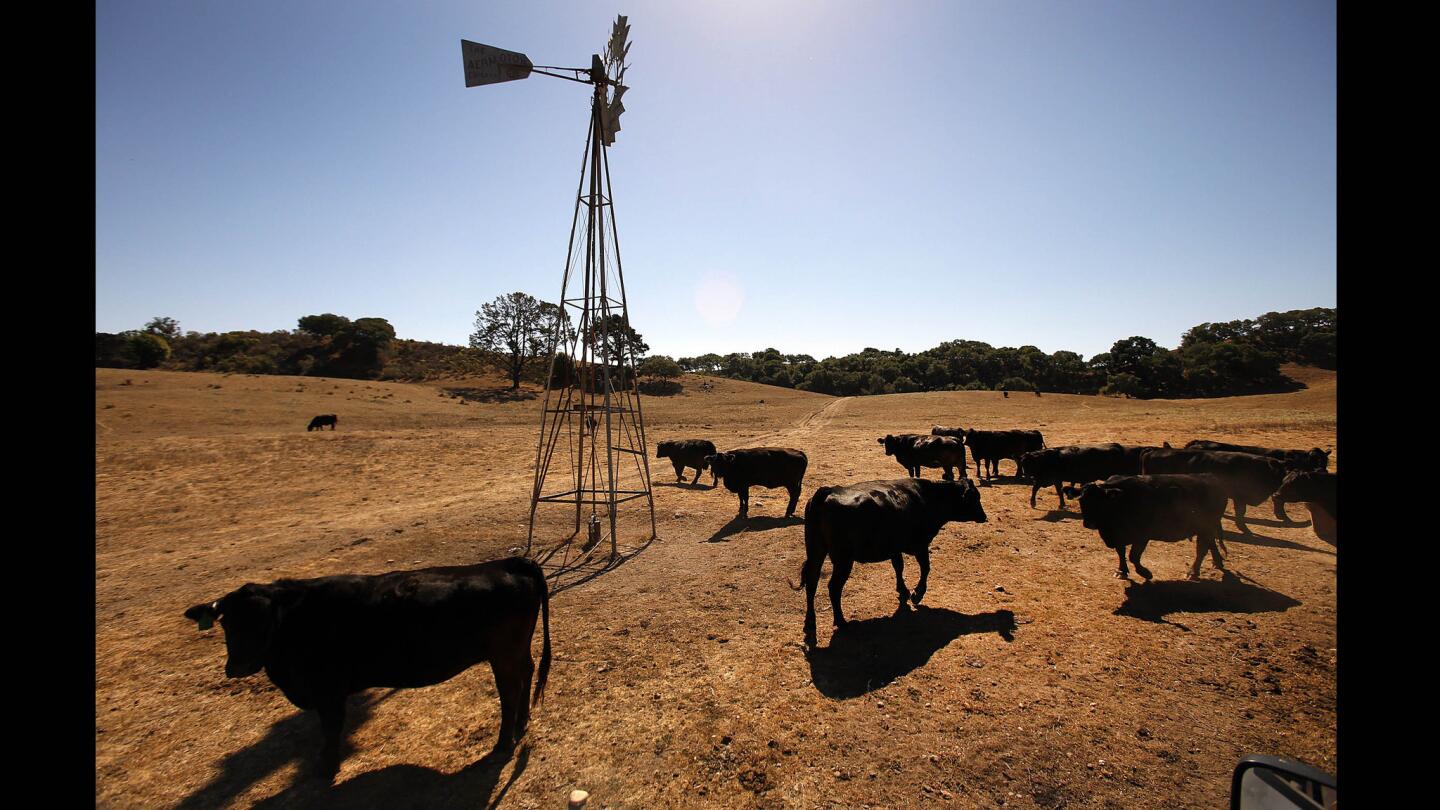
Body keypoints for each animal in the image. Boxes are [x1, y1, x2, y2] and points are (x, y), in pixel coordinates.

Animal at [184, 553, 550, 778]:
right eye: (227, 623)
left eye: (263, 621)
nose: (237, 666)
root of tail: (512, 562)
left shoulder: (328, 689)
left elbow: (331, 729)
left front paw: (326, 767)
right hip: (516, 651)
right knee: (526, 674)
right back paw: (520, 725)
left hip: (502, 654)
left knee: (510, 691)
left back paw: (502, 744)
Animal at [800, 475, 990, 639]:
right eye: (975, 497)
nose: (984, 516)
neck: (928, 497)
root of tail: (827, 491)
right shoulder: (920, 544)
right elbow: (925, 567)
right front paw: (917, 593)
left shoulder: (894, 547)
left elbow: (898, 566)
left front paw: (903, 590)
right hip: (843, 560)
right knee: (833, 587)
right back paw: (841, 621)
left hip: (816, 551)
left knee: (812, 582)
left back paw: (810, 623)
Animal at [1019, 441, 1152, 504]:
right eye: (1023, 463)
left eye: (1028, 463)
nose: (1026, 475)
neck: (1044, 458)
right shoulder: (1051, 480)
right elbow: (1041, 489)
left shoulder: (1050, 479)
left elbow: (1040, 489)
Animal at [1082, 472, 1226, 579]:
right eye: (1082, 501)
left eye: (1100, 502)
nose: (1088, 523)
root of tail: (1212, 478)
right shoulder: (1118, 537)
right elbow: (1121, 553)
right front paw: (1121, 571)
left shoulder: (1142, 536)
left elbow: (1133, 556)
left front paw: (1145, 573)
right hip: (1206, 528)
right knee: (1211, 544)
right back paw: (1217, 562)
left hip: (1205, 528)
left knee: (1201, 550)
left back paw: (1193, 572)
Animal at [1140, 443, 1290, 533]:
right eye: (1281, 473)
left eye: (1287, 473)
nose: (1279, 493)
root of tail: (1153, 451)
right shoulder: (1239, 496)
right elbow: (1241, 512)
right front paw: (1244, 529)